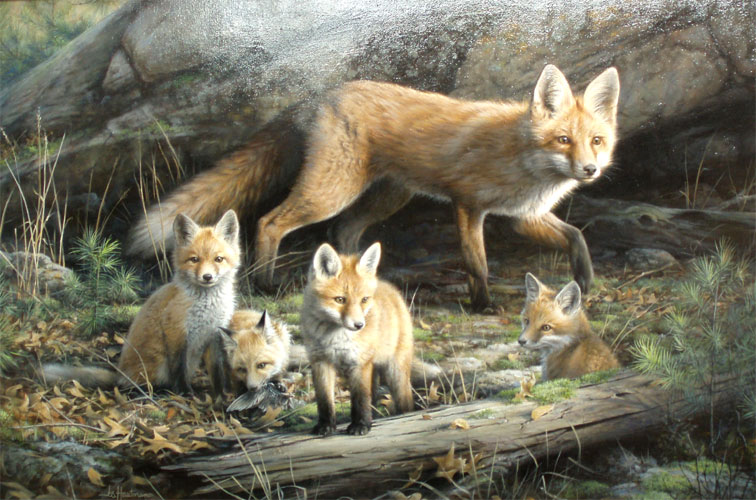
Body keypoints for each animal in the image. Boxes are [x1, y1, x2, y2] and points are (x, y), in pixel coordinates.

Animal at [44, 210, 240, 395]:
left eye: (218, 259)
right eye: (194, 260)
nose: (207, 277)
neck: (208, 306)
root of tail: (120, 373)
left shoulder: (214, 335)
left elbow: (217, 370)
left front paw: (222, 392)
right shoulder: (176, 333)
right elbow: (179, 369)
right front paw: (184, 392)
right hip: (156, 366)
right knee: (131, 385)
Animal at [128, 65, 620, 311]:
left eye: (596, 140)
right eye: (563, 140)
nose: (590, 170)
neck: (524, 161)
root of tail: (319, 97)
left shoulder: (523, 217)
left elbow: (575, 236)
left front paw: (585, 280)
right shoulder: (467, 205)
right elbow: (476, 263)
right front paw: (483, 305)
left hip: (385, 197)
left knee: (343, 233)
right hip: (332, 191)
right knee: (269, 222)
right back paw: (265, 284)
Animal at [301, 242, 414, 436]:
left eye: (364, 300)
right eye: (340, 299)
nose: (359, 325)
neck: (335, 338)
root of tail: (390, 288)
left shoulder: (359, 363)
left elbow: (360, 399)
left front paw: (360, 425)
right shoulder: (320, 362)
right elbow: (324, 401)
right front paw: (325, 425)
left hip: (395, 373)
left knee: (405, 402)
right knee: (373, 397)